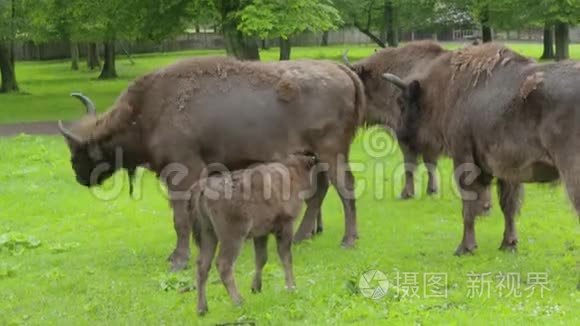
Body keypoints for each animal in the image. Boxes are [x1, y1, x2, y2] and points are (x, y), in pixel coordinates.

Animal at [60, 56, 368, 270]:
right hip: (315, 157)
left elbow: (180, 220)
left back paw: (348, 240)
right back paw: (303, 236)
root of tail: (341, 70)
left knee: (345, 189)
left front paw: (178, 260)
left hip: (331, 154)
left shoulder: (182, 175)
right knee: (319, 192)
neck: (147, 111)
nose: (78, 175)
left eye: (77, 150)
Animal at [190, 151, 318, 316]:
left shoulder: (261, 234)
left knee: (202, 265)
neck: (293, 171)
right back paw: (238, 301)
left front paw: (256, 287)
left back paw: (202, 308)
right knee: (224, 264)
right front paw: (291, 287)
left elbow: (261, 258)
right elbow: (286, 257)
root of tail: (203, 188)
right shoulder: (285, 226)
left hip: (209, 234)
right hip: (233, 237)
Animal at [382, 42, 576, 255]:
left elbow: (468, 208)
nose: (400, 134)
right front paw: (508, 244)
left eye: (402, 103)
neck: (446, 90)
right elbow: (508, 207)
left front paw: (465, 247)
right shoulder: (507, 171)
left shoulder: (464, 159)